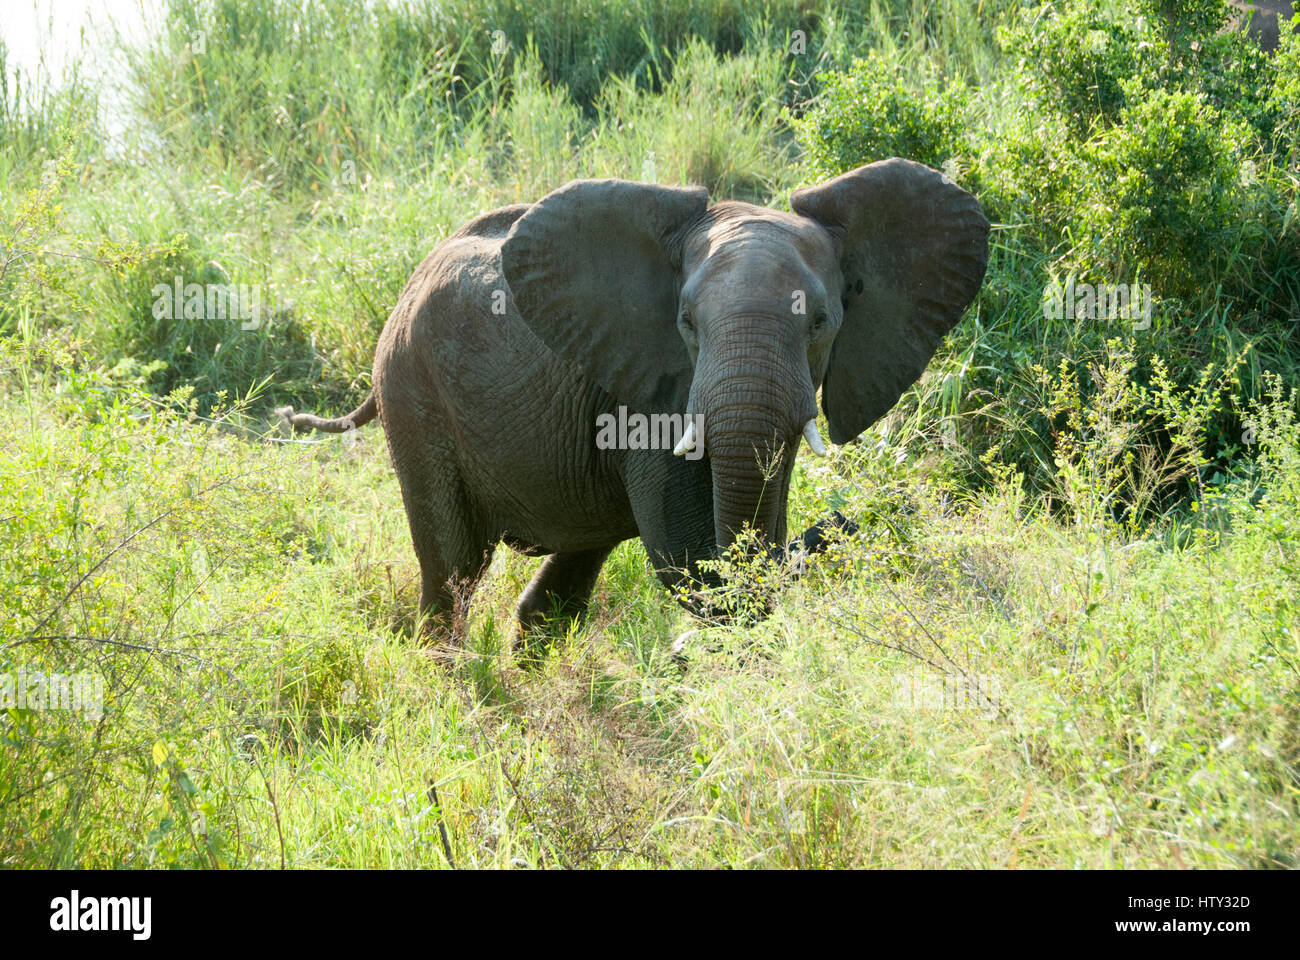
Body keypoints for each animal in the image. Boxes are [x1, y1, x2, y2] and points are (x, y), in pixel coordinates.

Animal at [279, 158, 987, 650]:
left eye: (821, 322)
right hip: (413, 390)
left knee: (562, 578)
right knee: (454, 569)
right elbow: (690, 559)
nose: (862, 518)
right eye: (686, 323)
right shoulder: (653, 394)